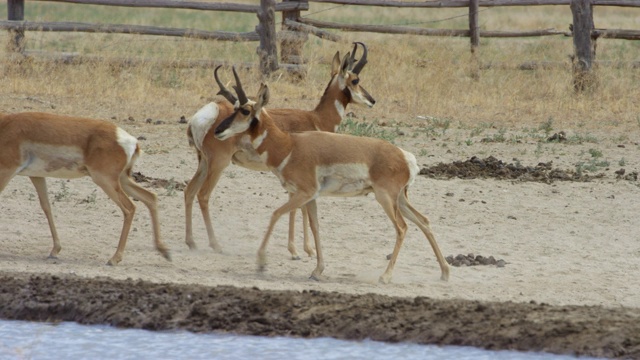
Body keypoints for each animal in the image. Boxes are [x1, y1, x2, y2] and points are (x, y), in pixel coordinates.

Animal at [0, 111, 171, 266]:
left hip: (105, 181)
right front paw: (55, 250)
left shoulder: (7, 172)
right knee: (150, 197)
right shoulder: (36, 176)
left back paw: (114, 259)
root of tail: (132, 141)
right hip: (122, 180)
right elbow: (46, 207)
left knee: (130, 208)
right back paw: (164, 251)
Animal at [185, 41, 376, 258]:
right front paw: (300, 250)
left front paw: (301, 248)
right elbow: (299, 208)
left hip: (203, 163)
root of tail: (207, 113)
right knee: (203, 195)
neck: (316, 119)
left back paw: (191, 242)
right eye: (355, 80)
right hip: (218, 164)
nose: (372, 100)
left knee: (189, 191)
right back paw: (216, 244)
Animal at [214, 71, 450, 284]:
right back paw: (444, 273)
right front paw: (317, 271)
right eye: (234, 108)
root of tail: (404, 155)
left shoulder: (303, 193)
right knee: (424, 221)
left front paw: (262, 263)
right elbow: (315, 227)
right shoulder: (310, 197)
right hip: (399, 199)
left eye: (245, 110)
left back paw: (385, 276)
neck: (289, 146)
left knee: (402, 228)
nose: (217, 131)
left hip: (385, 198)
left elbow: (275, 214)